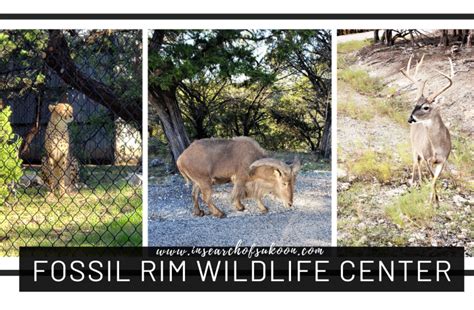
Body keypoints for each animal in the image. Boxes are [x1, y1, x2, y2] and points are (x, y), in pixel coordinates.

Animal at [400, 55, 456, 206]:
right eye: (415, 104)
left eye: (425, 107)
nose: (410, 118)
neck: (437, 147)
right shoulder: (427, 157)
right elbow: (432, 178)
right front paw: (432, 201)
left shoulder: (443, 159)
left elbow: (435, 180)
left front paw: (436, 201)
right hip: (414, 147)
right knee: (415, 164)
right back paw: (414, 183)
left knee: (419, 165)